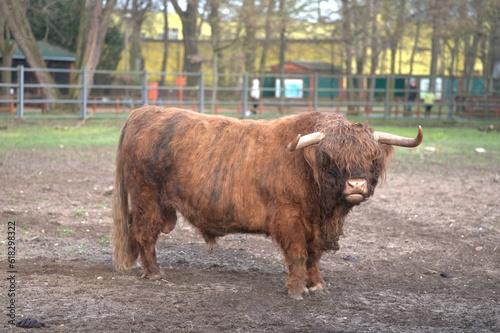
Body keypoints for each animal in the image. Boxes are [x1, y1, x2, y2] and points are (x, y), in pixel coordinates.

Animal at [112, 106, 422, 298]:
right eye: (329, 158)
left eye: (372, 158)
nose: (356, 185)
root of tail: (144, 112)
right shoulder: (289, 217)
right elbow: (298, 253)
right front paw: (296, 289)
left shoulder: (315, 225)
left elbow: (314, 256)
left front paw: (316, 284)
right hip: (148, 197)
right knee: (144, 233)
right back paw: (154, 273)